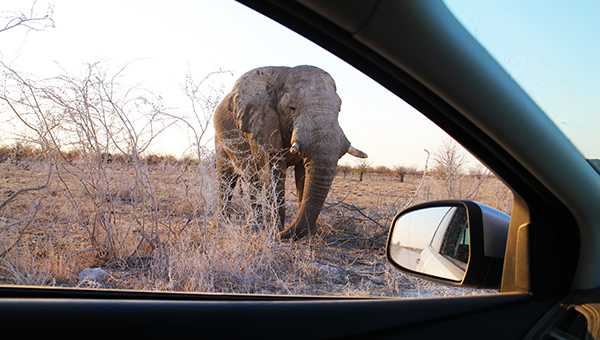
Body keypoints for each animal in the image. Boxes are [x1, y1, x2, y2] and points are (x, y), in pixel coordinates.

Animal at [216, 65, 366, 240]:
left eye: (339, 109)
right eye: (292, 108)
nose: (283, 233)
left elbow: (303, 175)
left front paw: (309, 236)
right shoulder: (262, 126)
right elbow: (274, 173)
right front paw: (274, 234)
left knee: (252, 180)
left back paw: (254, 227)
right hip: (221, 139)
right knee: (227, 179)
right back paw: (224, 224)